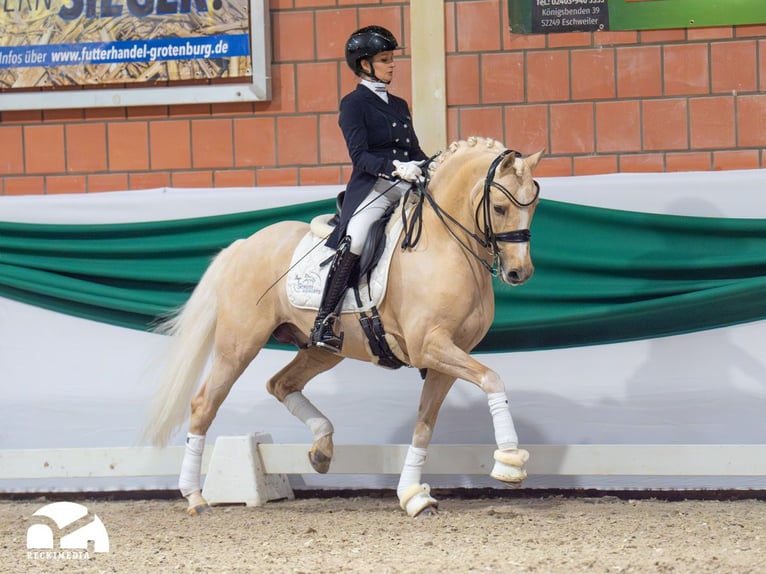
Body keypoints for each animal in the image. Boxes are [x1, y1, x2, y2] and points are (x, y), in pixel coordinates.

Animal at [142, 138, 544, 516]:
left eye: (533, 207)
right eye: (500, 207)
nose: (519, 273)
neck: (445, 246)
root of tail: (243, 245)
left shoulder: (449, 356)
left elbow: (425, 424)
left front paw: (414, 496)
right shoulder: (430, 346)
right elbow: (492, 379)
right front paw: (510, 462)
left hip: (322, 350)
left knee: (280, 384)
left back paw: (322, 448)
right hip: (239, 343)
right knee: (204, 404)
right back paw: (195, 497)